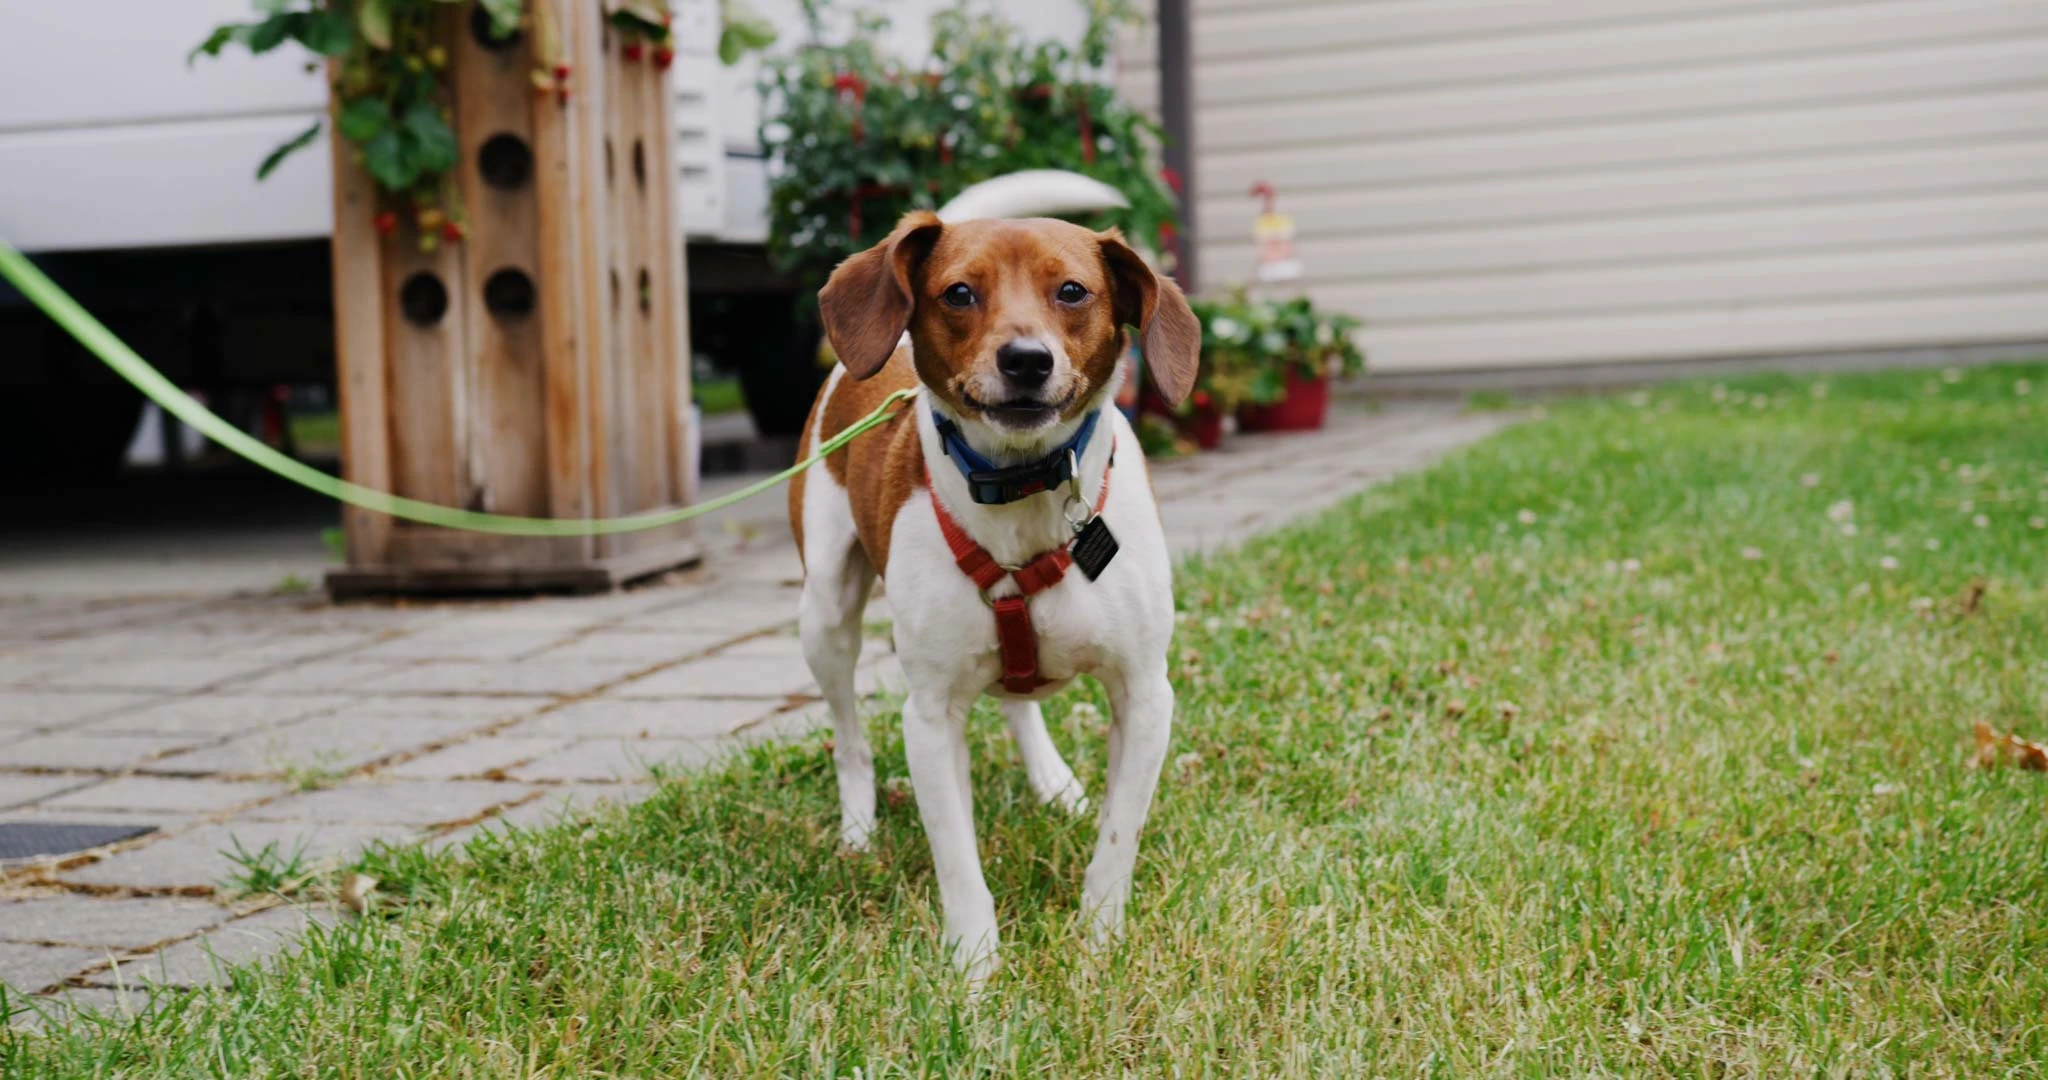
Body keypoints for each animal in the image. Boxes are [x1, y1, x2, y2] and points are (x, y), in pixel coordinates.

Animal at [782, 198, 1196, 983]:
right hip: (823, 616)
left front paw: (1098, 941)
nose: (1026, 359)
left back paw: (1054, 783)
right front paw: (974, 969)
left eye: (1072, 291)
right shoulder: (929, 715)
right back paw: (857, 829)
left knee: (1017, 699)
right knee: (849, 736)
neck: (1023, 487)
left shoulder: (1145, 694)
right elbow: (958, 862)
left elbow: (1117, 839)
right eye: (959, 293)